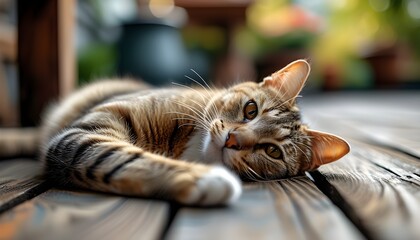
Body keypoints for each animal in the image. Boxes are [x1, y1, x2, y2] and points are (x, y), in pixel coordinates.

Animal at [3, 59, 352, 205]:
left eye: (272, 151)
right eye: (251, 110)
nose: (233, 140)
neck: (192, 148)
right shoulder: (83, 133)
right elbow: (119, 157)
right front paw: (201, 179)